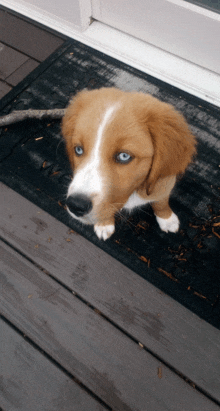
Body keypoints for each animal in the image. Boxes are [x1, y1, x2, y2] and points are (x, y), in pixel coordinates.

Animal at [62, 87, 196, 241]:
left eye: (124, 156)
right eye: (78, 149)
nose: (76, 205)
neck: (134, 191)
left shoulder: (164, 183)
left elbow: (161, 202)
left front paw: (167, 219)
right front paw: (104, 224)